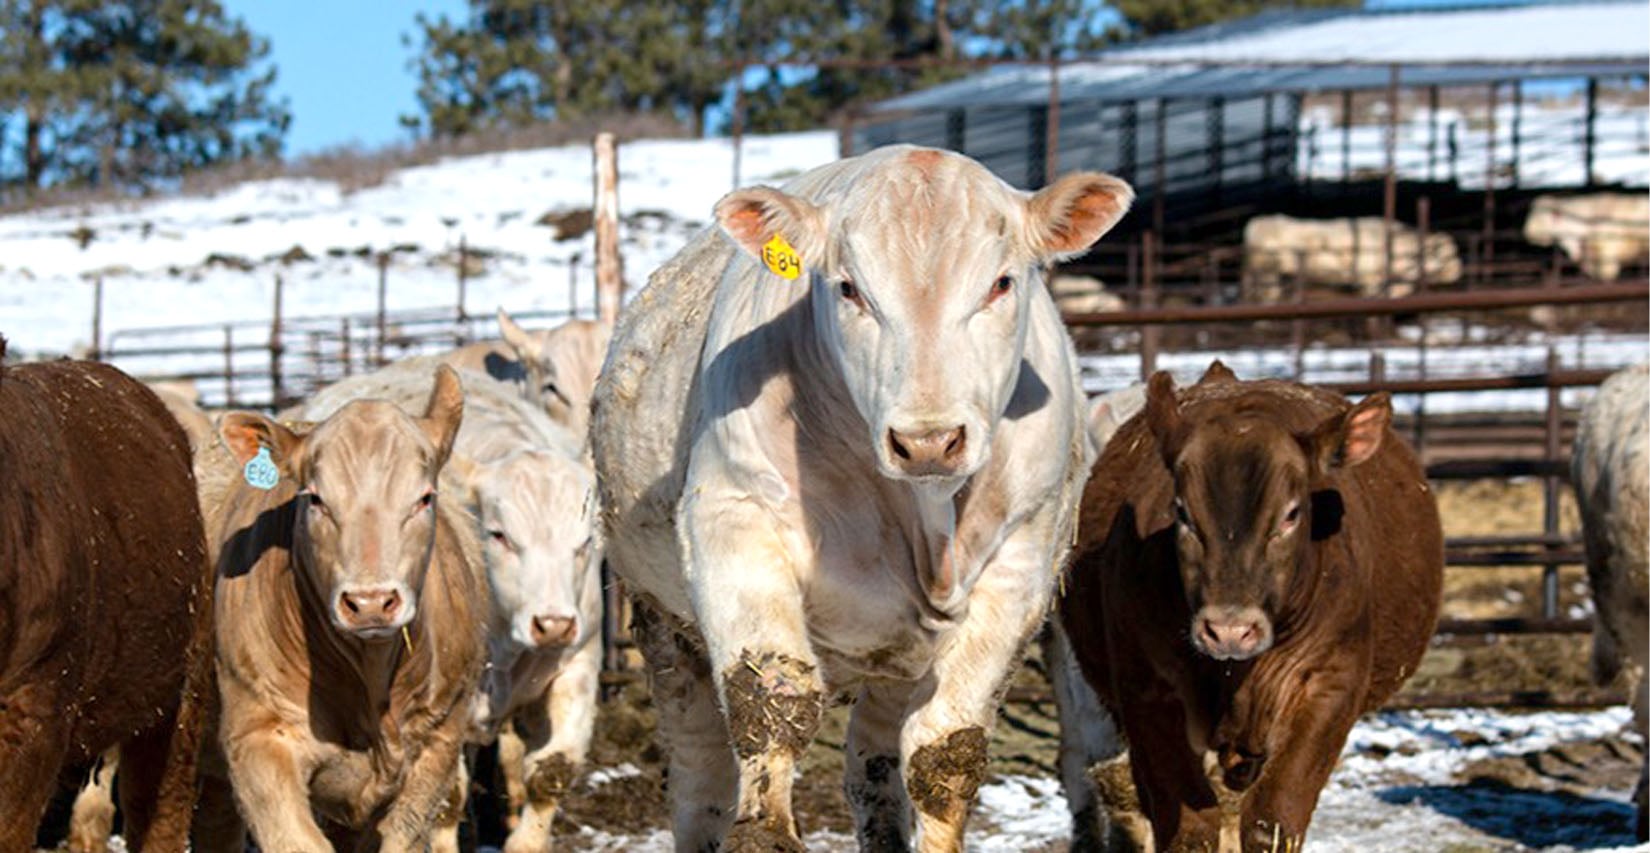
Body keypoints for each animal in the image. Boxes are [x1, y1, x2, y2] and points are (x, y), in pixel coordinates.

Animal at [292, 360, 602, 851]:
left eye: (585, 541)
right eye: (499, 535)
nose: (552, 624)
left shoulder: (580, 661)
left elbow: (550, 774)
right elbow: (444, 799)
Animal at [592, 144, 1132, 851]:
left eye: (1001, 284)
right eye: (849, 288)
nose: (928, 440)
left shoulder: (1023, 565)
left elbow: (943, 754)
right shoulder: (734, 523)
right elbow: (772, 705)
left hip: (897, 659)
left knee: (873, 768)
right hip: (663, 626)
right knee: (697, 777)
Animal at [1059, 363, 1443, 851]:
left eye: (1291, 514)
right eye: (1181, 512)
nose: (1229, 630)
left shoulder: (1330, 684)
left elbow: (1272, 820)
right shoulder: (1146, 689)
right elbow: (1189, 824)